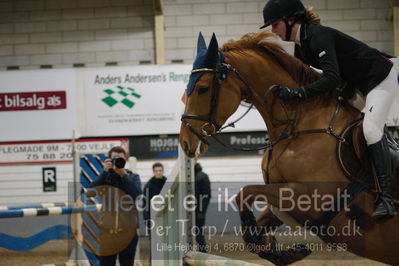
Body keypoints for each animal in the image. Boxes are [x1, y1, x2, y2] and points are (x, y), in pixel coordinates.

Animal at [181, 31, 399, 266]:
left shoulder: (308, 196)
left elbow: (245, 192)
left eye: (203, 88)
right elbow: (254, 233)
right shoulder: (284, 200)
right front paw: (288, 252)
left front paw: (255, 232)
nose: (185, 142)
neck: (298, 125)